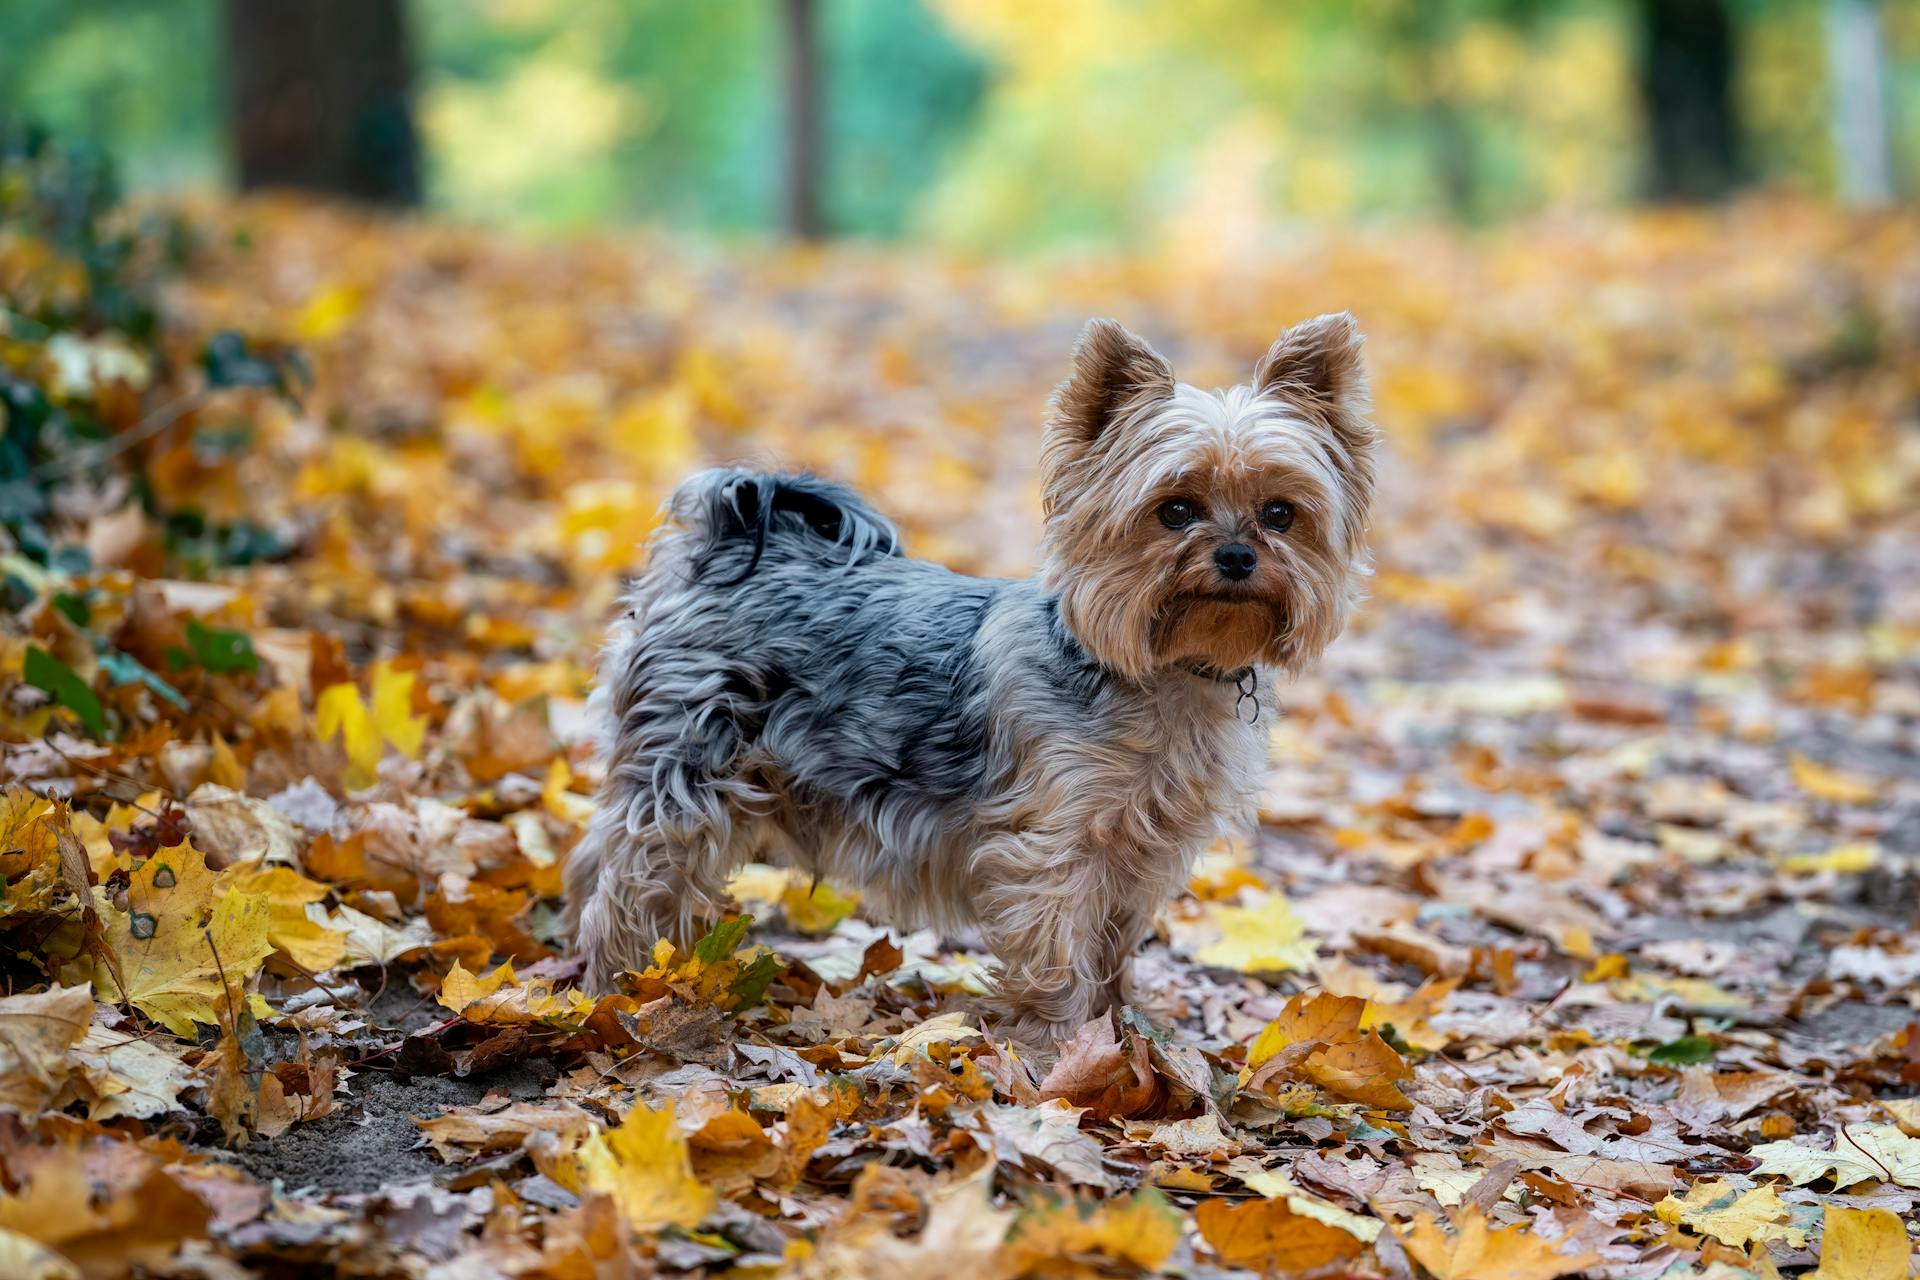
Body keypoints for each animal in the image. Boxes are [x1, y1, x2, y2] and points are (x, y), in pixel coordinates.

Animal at [560, 314, 1374, 1043]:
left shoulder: (1143, 851)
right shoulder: (1050, 846)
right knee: (633, 879)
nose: (1237, 555)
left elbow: (1112, 948)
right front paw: (1065, 1050)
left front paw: (1122, 1031)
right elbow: (1059, 953)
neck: (1163, 670)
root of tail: (730, 542)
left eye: (1281, 513)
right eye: (1175, 510)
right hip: (689, 775)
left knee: (592, 858)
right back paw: (623, 991)